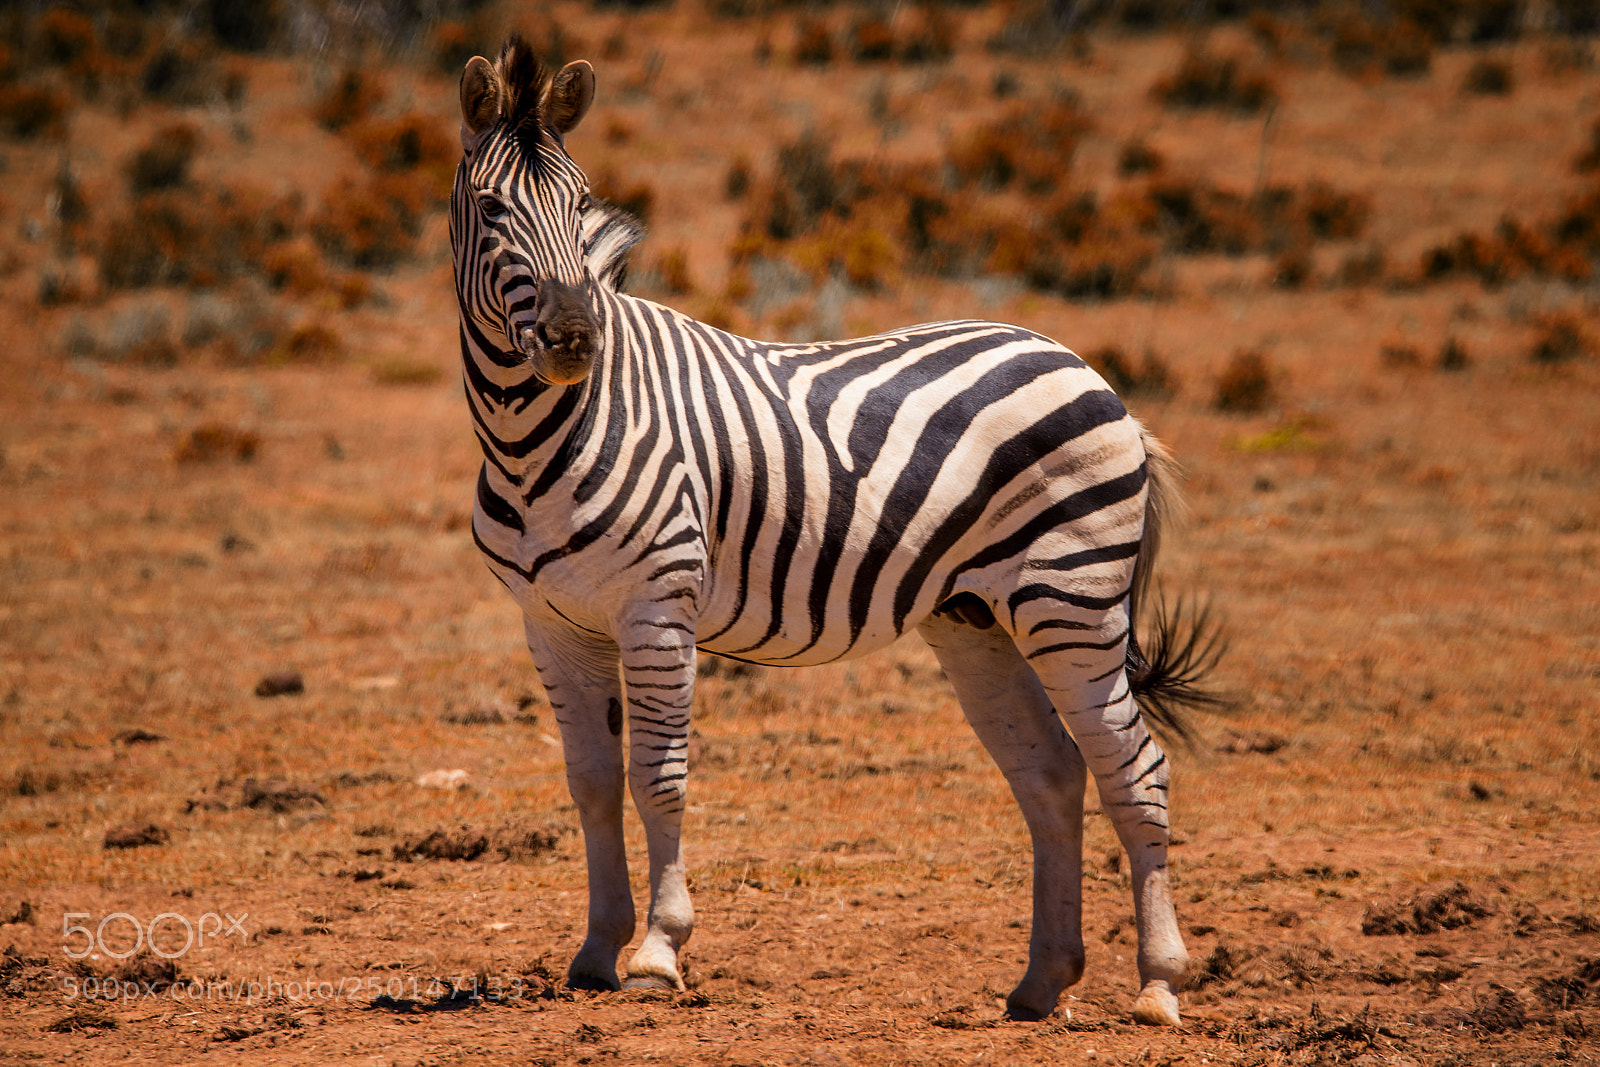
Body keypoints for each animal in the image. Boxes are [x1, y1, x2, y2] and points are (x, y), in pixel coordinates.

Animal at [450, 37, 1221, 1026]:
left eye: (582, 204)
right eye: (491, 206)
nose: (575, 338)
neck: (536, 436)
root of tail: (1087, 368)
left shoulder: (658, 606)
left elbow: (656, 772)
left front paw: (658, 950)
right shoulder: (552, 623)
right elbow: (590, 781)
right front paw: (594, 949)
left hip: (1073, 601)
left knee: (1137, 768)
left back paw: (1159, 984)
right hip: (976, 618)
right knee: (1052, 773)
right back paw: (1042, 980)